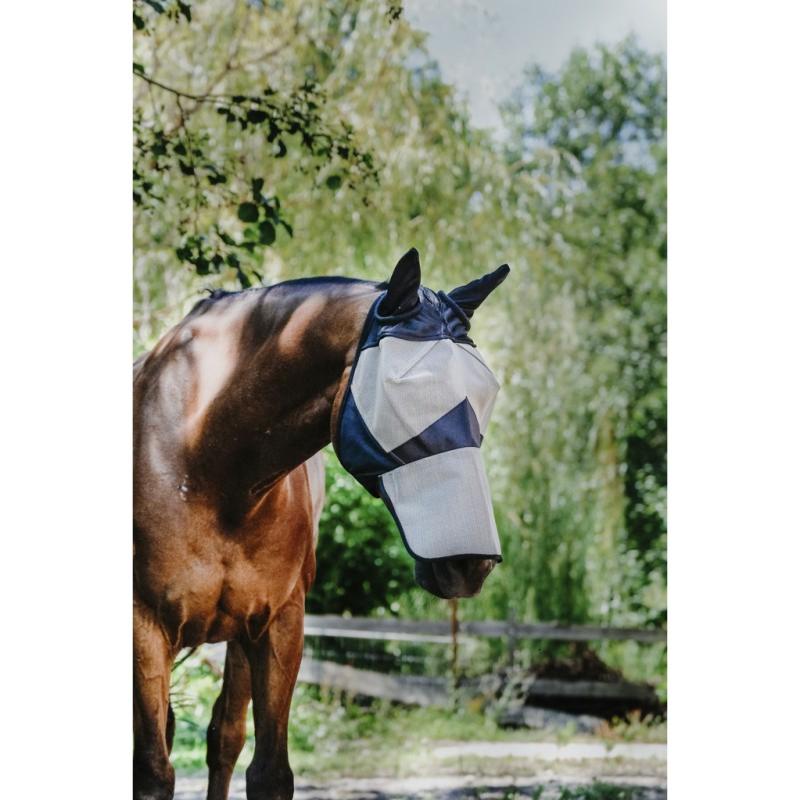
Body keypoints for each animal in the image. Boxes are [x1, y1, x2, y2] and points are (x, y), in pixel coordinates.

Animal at [133, 248, 509, 800]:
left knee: (223, 737)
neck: (204, 462)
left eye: (486, 394)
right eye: (405, 391)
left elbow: (268, 772)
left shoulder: (278, 622)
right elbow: (153, 773)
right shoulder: (145, 627)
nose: (471, 563)